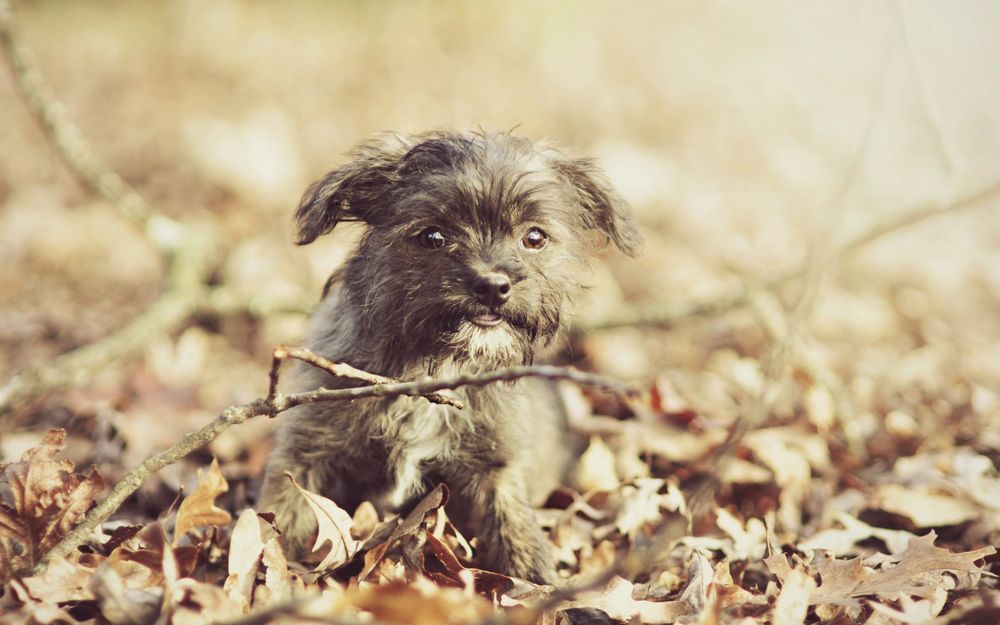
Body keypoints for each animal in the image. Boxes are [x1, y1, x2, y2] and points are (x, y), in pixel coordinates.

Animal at [262, 129, 640, 584]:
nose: (493, 286)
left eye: (534, 237)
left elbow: (516, 531)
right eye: (433, 237)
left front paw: (537, 585)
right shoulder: (306, 453)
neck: (435, 363)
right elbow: (277, 517)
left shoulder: (496, 467)